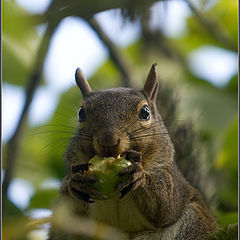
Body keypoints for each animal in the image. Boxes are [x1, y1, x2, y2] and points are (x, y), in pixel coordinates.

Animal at [47, 63, 218, 240]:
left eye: (145, 112)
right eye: (81, 113)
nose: (108, 140)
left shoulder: (172, 178)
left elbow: (166, 204)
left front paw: (139, 175)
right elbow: (68, 212)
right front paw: (76, 183)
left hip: (194, 222)